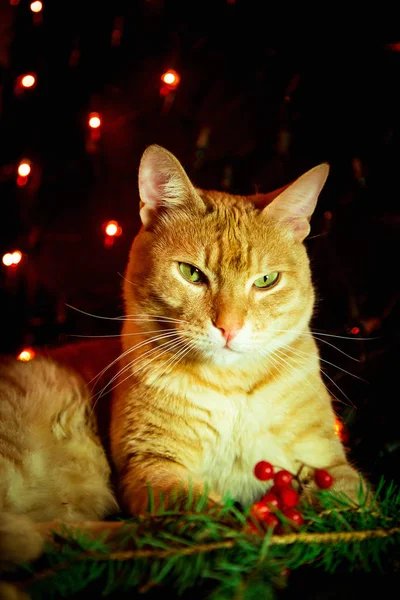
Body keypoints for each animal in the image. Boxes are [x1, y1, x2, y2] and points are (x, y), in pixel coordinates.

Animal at [0, 144, 362, 568]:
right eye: (191, 273)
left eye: (266, 281)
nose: (229, 327)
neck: (232, 387)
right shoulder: (152, 466)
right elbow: (201, 512)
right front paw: (242, 539)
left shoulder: (328, 463)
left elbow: (348, 499)